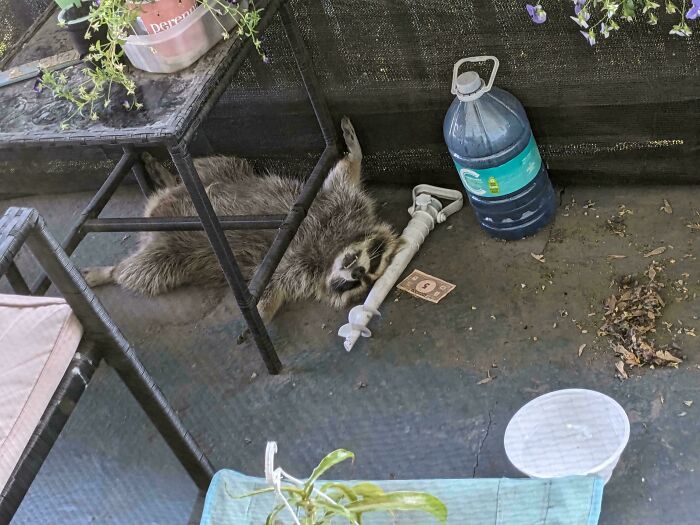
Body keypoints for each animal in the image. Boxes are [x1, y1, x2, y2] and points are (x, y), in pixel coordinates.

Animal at [83, 118, 402, 323]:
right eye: (365, 259)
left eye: (363, 279)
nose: (354, 273)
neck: (330, 252)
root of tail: (153, 210)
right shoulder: (340, 205)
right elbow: (343, 174)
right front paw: (355, 149)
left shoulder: (295, 273)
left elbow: (270, 293)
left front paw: (259, 312)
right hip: (220, 174)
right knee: (219, 164)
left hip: (169, 254)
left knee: (145, 273)